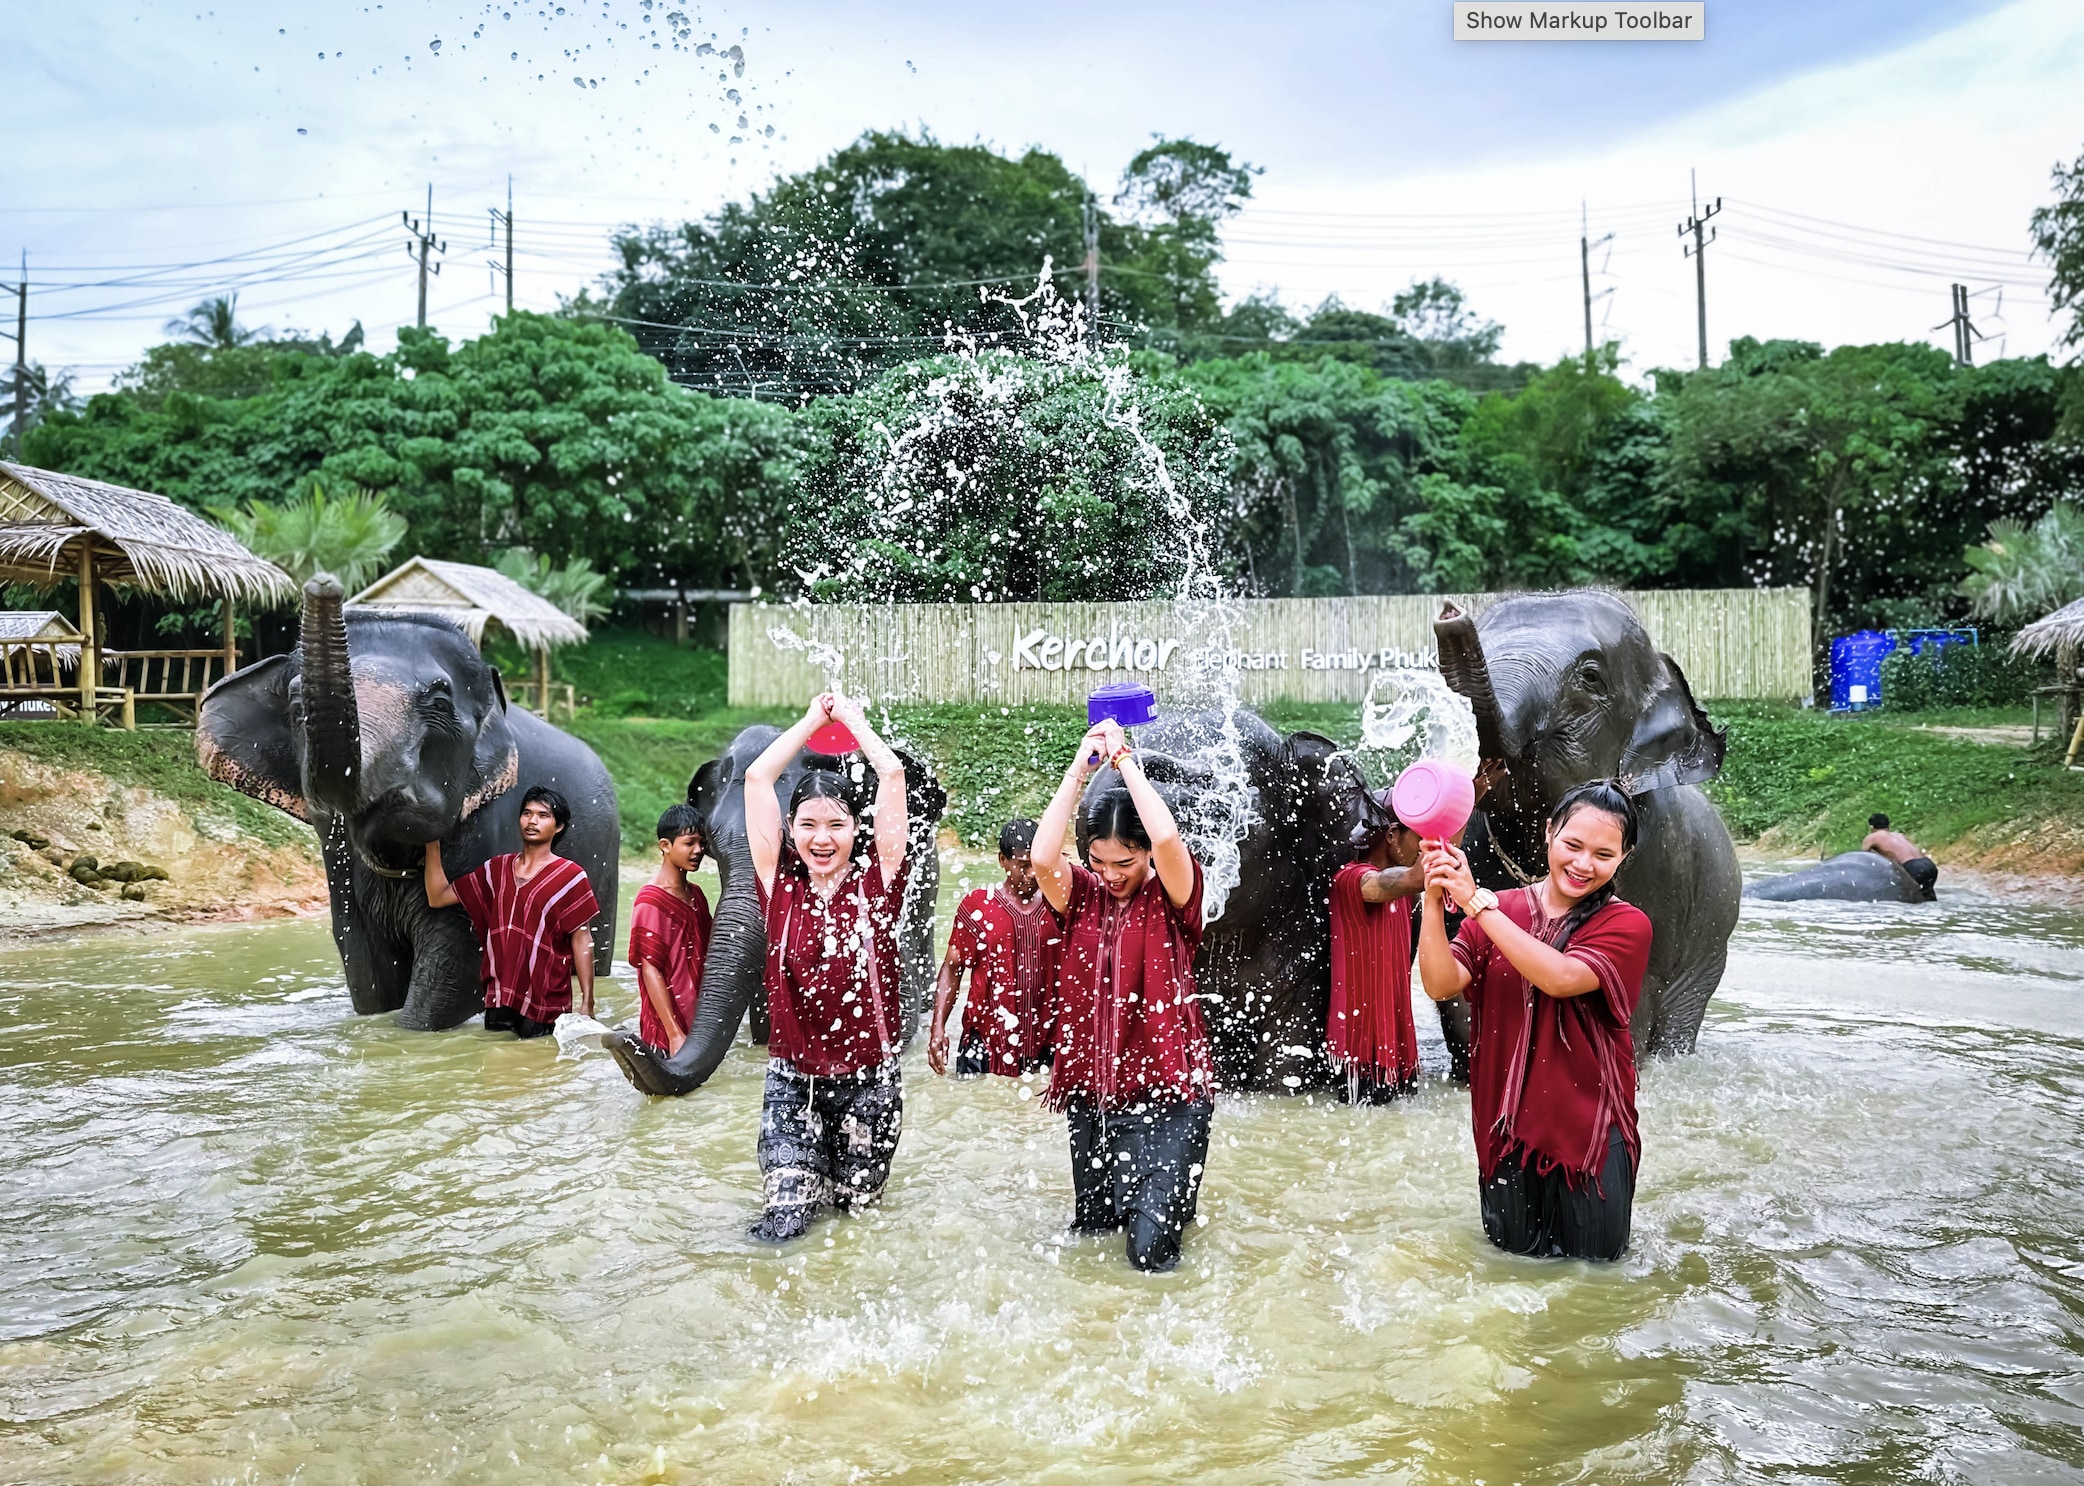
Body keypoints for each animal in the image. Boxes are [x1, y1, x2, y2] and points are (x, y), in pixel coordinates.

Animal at [194, 575, 616, 1033]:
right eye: (296, 707)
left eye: (440, 705)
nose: (324, 584)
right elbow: (365, 967)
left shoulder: (490, 825)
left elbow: (455, 966)